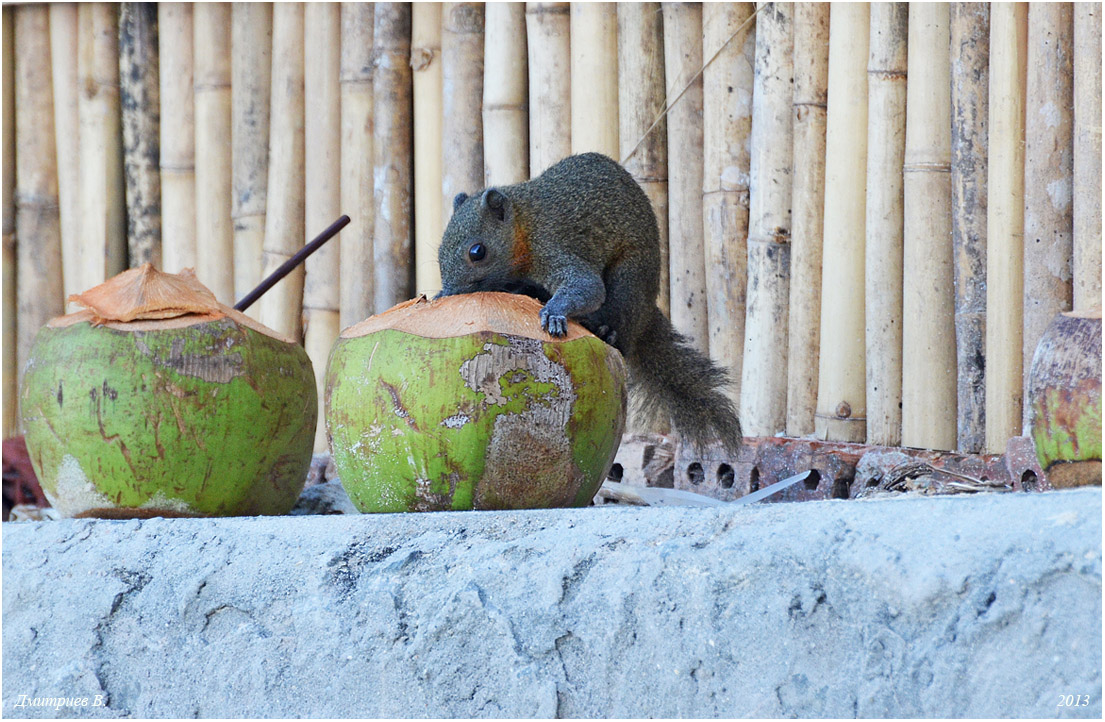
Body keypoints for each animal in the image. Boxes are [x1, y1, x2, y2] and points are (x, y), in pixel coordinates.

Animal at [433, 150, 742, 451]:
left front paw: (554, 313)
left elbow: (588, 286)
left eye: (477, 251)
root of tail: (646, 314)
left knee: (621, 330)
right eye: (439, 251)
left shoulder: (552, 245)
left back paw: (605, 330)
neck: (524, 225)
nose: (450, 292)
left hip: (628, 281)